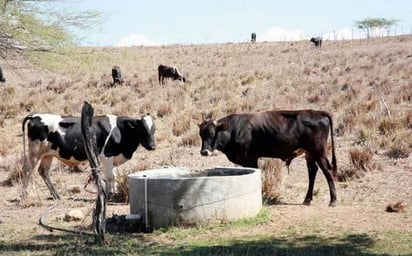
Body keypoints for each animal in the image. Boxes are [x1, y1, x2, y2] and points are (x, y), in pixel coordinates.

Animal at [21, 113, 156, 199]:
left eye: (153, 129)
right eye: (142, 129)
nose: (152, 146)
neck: (119, 130)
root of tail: (34, 116)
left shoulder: (112, 158)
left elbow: (114, 176)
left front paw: (114, 192)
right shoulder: (106, 156)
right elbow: (110, 177)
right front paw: (111, 194)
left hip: (47, 155)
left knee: (43, 171)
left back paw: (56, 195)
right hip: (34, 153)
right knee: (27, 171)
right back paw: (25, 195)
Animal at [200, 109, 338, 206]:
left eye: (212, 133)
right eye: (201, 134)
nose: (204, 152)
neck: (234, 129)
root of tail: (317, 112)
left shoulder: (250, 158)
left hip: (319, 152)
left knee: (327, 170)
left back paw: (333, 200)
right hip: (309, 154)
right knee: (312, 171)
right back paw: (307, 199)